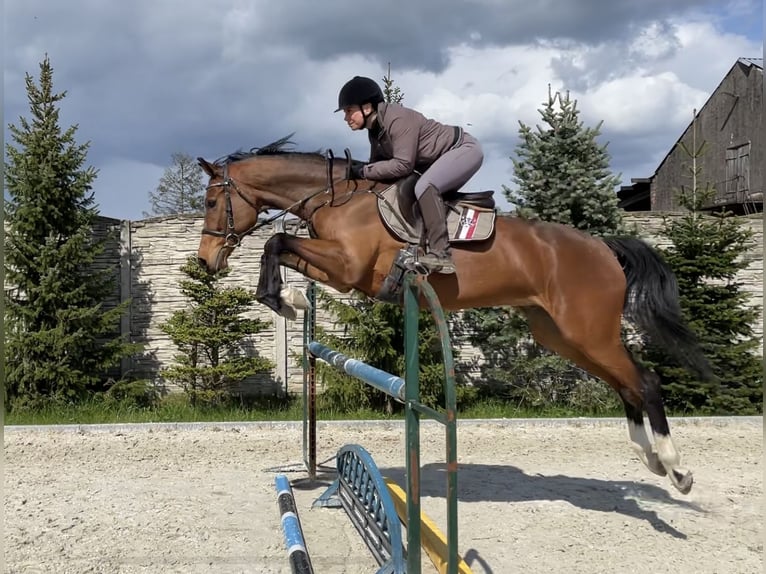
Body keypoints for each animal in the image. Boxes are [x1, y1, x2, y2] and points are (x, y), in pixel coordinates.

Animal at [196, 134, 712, 496]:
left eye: (210, 202)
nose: (205, 261)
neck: (336, 198)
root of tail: (603, 247)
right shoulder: (340, 272)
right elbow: (279, 245)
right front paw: (291, 300)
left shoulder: (348, 267)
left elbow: (275, 240)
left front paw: (285, 299)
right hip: (562, 335)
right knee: (626, 383)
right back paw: (651, 460)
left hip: (588, 332)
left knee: (645, 381)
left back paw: (677, 468)